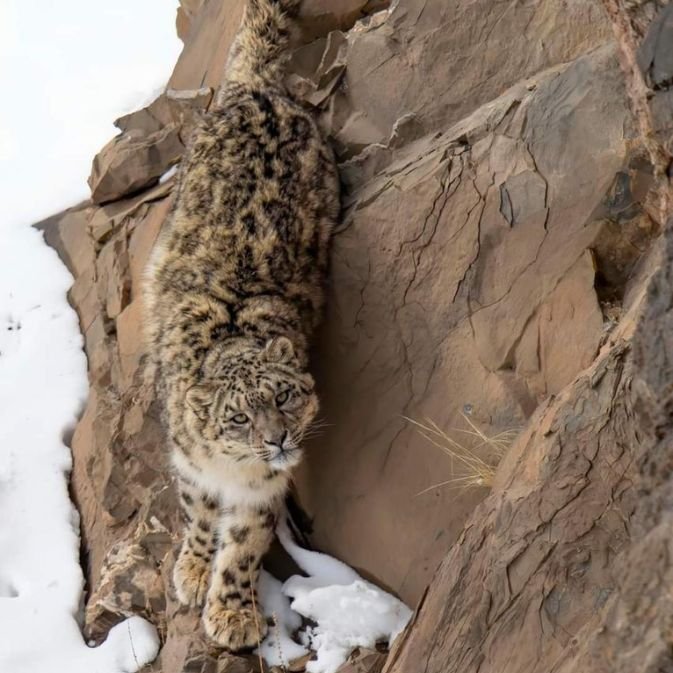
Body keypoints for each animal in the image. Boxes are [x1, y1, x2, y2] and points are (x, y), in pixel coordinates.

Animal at [142, 0, 339, 651]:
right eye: (236, 417)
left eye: (283, 396)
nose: (276, 440)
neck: (237, 469)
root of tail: (255, 91)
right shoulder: (192, 467)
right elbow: (201, 516)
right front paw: (193, 571)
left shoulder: (262, 488)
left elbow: (247, 544)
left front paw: (230, 613)